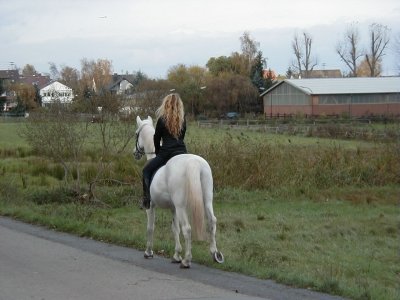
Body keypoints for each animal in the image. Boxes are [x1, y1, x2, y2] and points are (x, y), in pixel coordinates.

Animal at [133, 116, 223, 268]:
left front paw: (148, 252)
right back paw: (215, 254)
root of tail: (194, 163)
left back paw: (187, 260)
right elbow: (175, 228)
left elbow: (151, 227)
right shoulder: (173, 208)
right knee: (212, 221)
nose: (135, 153)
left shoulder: (151, 207)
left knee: (187, 229)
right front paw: (176, 255)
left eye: (136, 134)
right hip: (206, 201)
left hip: (181, 207)